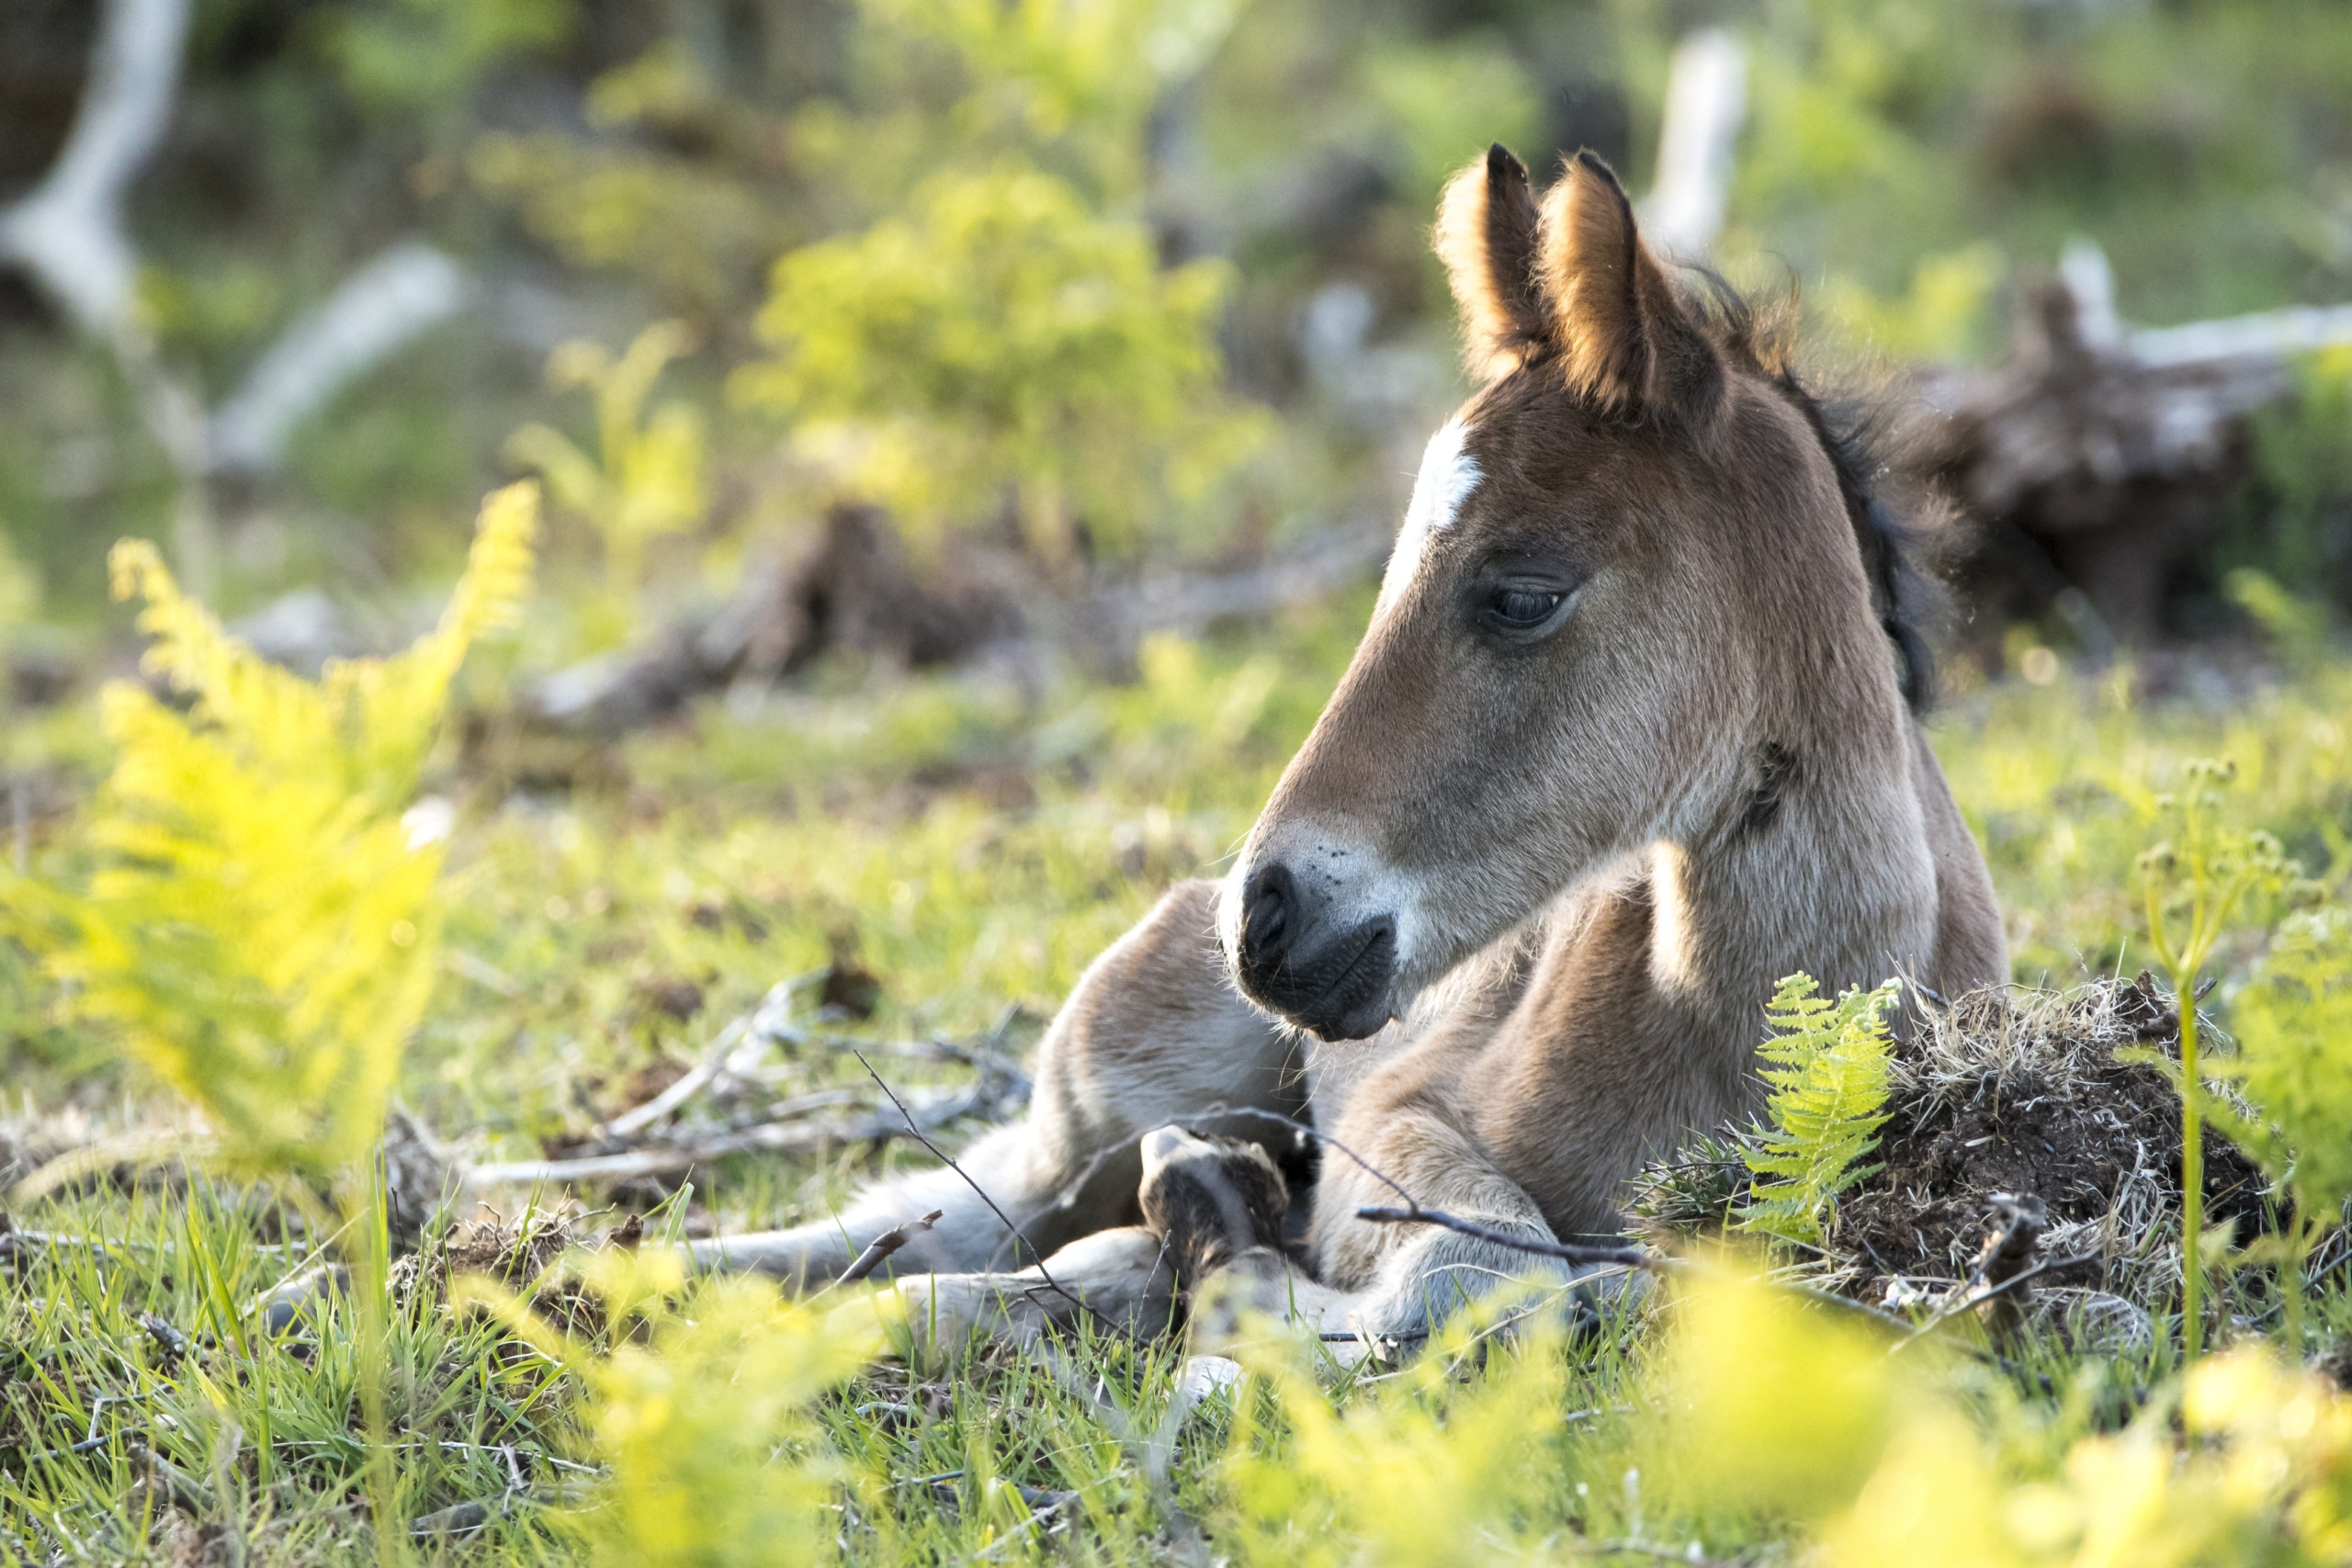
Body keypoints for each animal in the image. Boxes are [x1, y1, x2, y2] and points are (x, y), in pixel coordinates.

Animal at [695, 146, 2004, 1335]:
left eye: (1521, 594)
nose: (1265, 919)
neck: (1740, 1043)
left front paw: (1216, 1254)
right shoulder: (1397, 1116)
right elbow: (1495, 1269)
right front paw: (1230, 1268)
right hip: (1114, 1079)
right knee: (962, 1211)